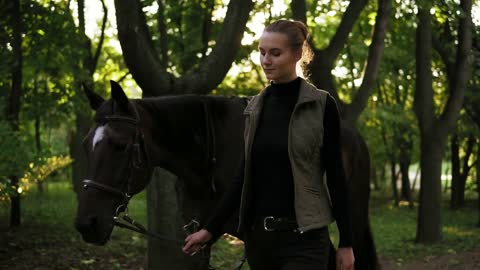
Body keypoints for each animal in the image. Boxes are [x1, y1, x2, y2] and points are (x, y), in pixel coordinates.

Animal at [74, 81, 378, 268]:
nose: (86, 224)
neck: (207, 160)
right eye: (86, 145)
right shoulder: (198, 235)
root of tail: (354, 137)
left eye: (120, 146)